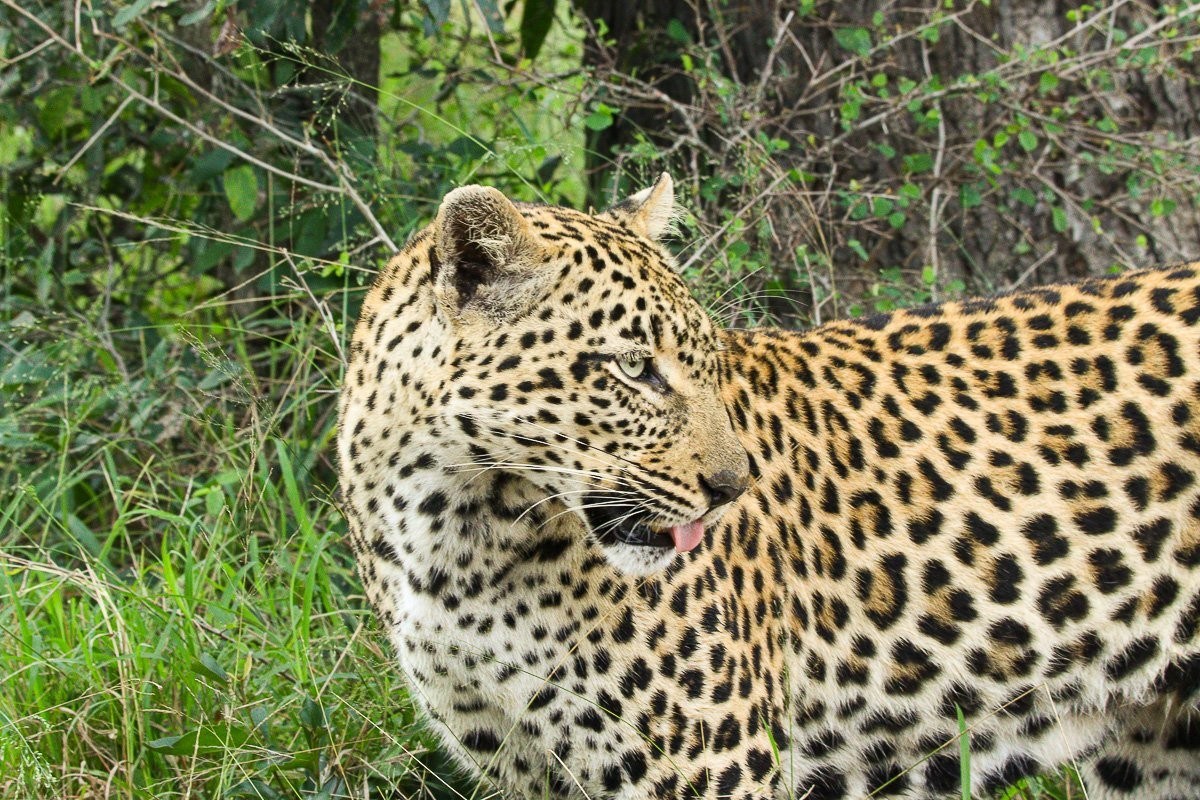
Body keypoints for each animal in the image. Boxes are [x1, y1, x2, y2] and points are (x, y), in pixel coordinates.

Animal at [337, 173, 1200, 800]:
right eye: (631, 367)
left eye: (707, 360)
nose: (731, 487)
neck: (452, 529)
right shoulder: (527, 772)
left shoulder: (712, 768)